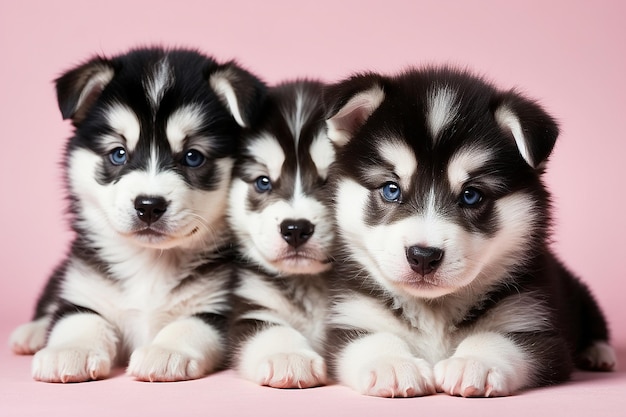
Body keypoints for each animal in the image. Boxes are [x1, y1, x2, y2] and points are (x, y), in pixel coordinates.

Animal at [7, 47, 266, 382]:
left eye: (193, 157)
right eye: (118, 153)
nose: (149, 205)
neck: (150, 263)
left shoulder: (220, 305)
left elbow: (189, 325)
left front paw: (166, 351)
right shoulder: (84, 289)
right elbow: (78, 318)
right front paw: (71, 350)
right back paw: (32, 333)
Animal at [227, 80, 334, 386]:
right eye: (263, 182)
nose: (295, 229)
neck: (310, 283)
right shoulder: (251, 304)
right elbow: (268, 328)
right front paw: (289, 356)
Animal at [322, 67, 616, 396]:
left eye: (471, 195)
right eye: (390, 189)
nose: (423, 256)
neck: (435, 308)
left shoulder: (536, 325)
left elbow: (500, 338)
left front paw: (475, 361)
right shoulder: (350, 317)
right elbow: (368, 339)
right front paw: (393, 363)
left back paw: (599, 353)